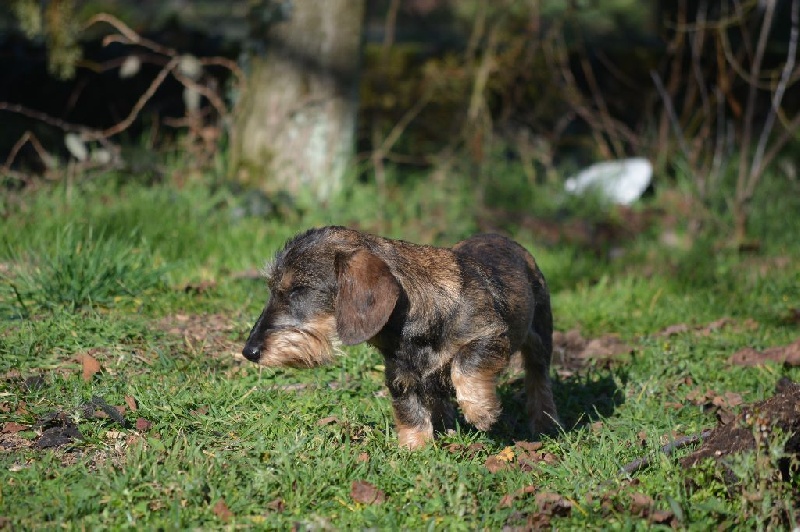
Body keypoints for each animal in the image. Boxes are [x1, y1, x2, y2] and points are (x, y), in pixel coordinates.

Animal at [241, 225, 560, 448]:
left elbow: (465, 363)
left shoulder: (490, 335)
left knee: (539, 380)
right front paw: (414, 450)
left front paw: (481, 411)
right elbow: (410, 412)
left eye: (299, 290)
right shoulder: (400, 376)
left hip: (539, 340)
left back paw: (545, 422)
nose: (249, 352)